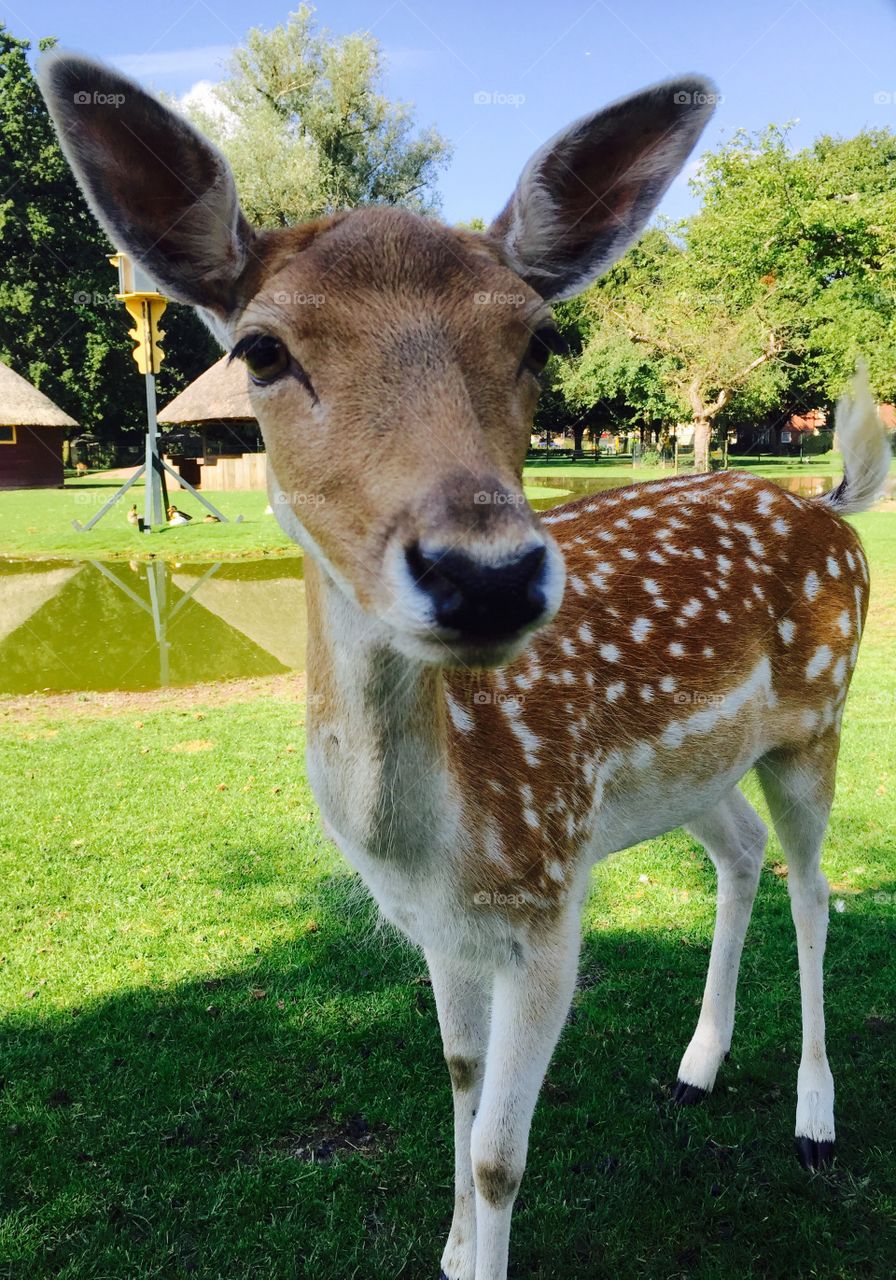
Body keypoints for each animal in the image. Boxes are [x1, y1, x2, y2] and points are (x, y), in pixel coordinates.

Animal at [40, 55, 890, 1280]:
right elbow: (454, 1075)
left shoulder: (547, 902)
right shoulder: (437, 925)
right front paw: (447, 1250)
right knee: (740, 856)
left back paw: (814, 1119)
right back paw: (695, 1065)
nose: (484, 575)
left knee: (817, 888)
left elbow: (499, 1154)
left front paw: (473, 1239)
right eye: (260, 349)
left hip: (817, 717)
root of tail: (830, 502)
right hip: (692, 775)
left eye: (543, 342)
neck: (429, 836)